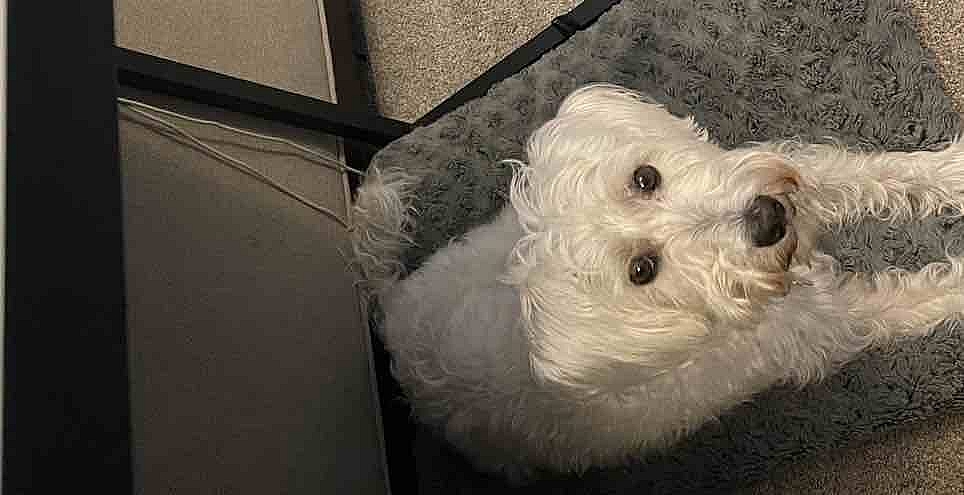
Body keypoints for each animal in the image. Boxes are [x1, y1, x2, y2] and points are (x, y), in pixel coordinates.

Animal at [352, 84, 964, 480]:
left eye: (645, 178)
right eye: (641, 271)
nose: (767, 219)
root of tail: (390, 317)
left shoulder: (803, 181)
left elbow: (878, 172)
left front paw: (951, 171)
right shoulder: (834, 322)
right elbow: (920, 294)